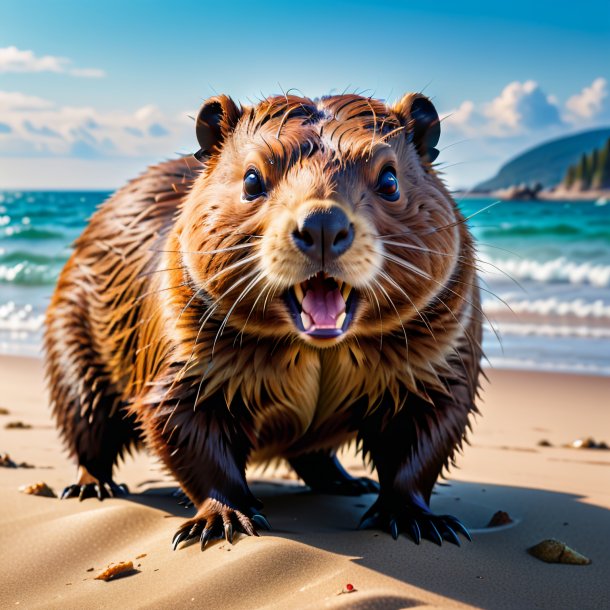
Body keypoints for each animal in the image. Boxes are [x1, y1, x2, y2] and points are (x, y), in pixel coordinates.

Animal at [45, 90, 480, 548]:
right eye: (252, 179)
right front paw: (224, 519)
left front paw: (422, 521)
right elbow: (180, 420)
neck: (316, 348)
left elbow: (429, 426)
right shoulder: (180, 345)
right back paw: (91, 486)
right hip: (72, 339)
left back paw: (350, 482)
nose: (322, 224)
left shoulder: (441, 352)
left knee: (316, 454)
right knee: (87, 425)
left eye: (390, 180)